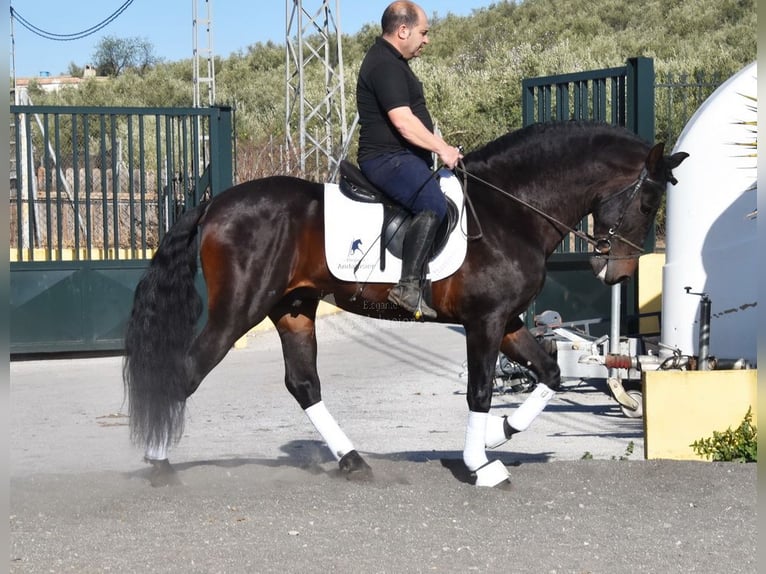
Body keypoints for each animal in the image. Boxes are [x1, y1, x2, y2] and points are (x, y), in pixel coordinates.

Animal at [126, 120, 688, 486]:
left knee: (304, 384)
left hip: (293, 308)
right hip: (237, 311)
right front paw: (481, 465)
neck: (510, 210)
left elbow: (550, 373)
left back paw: (353, 461)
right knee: (188, 370)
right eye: (646, 202)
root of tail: (215, 204)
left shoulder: (506, 320)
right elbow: (480, 390)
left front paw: (500, 434)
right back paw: (158, 465)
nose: (618, 272)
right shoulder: (484, 322)